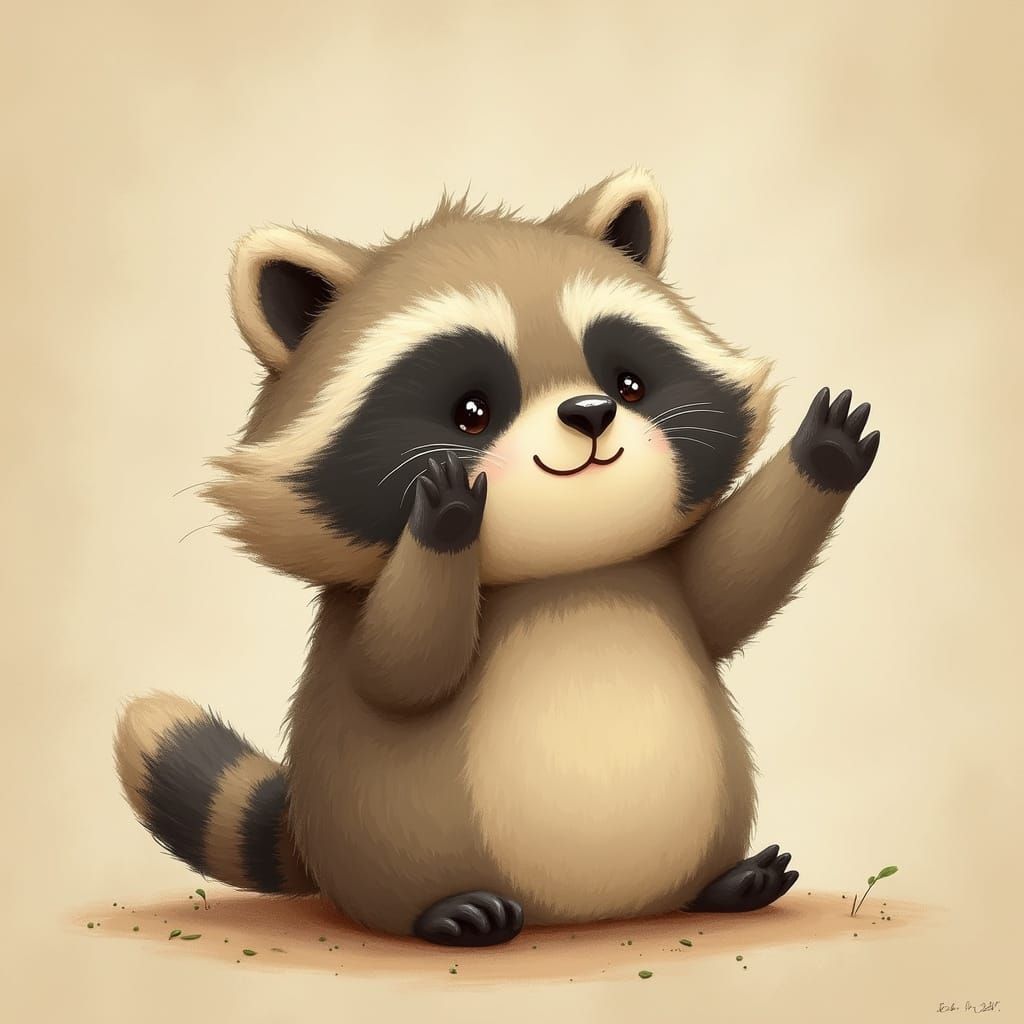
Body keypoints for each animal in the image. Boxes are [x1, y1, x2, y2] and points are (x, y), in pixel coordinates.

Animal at [114, 168, 880, 946]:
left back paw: (725, 883)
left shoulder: (663, 573)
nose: (590, 414)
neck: (567, 568)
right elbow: (399, 667)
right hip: (374, 830)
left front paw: (821, 452)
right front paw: (445, 517)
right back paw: (447, 911)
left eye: (629, 383)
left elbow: (733, 581)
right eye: (471, 412)